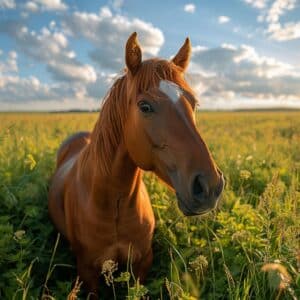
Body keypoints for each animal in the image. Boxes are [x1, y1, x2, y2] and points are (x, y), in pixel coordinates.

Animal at [48, 32, 224, 296]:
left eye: (193, 103)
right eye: (145, 106)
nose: (209, 186)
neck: (113, 202)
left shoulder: (142, 263)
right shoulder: (88, 271)